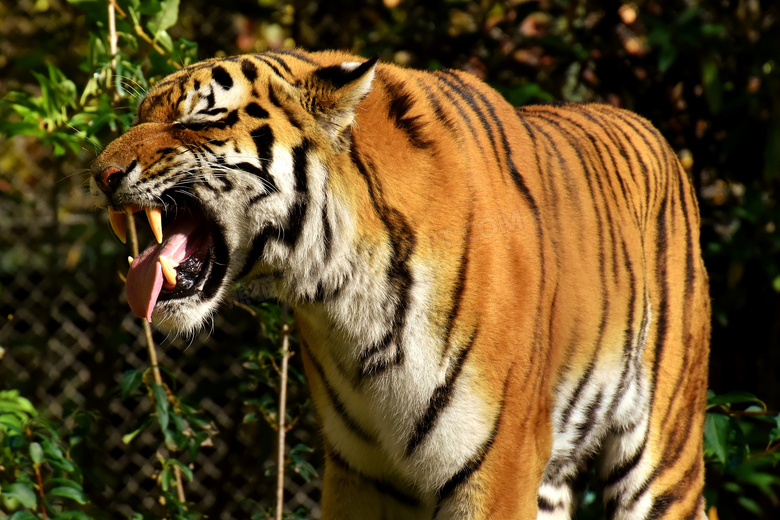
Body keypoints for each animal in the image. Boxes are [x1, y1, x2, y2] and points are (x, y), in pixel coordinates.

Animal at [88, 47, 708, 516]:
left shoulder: (500, 462)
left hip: (661, 458)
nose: (100, 175)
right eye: (139, 114)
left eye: (198, 119)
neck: (345, 294)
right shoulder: (362, 472)